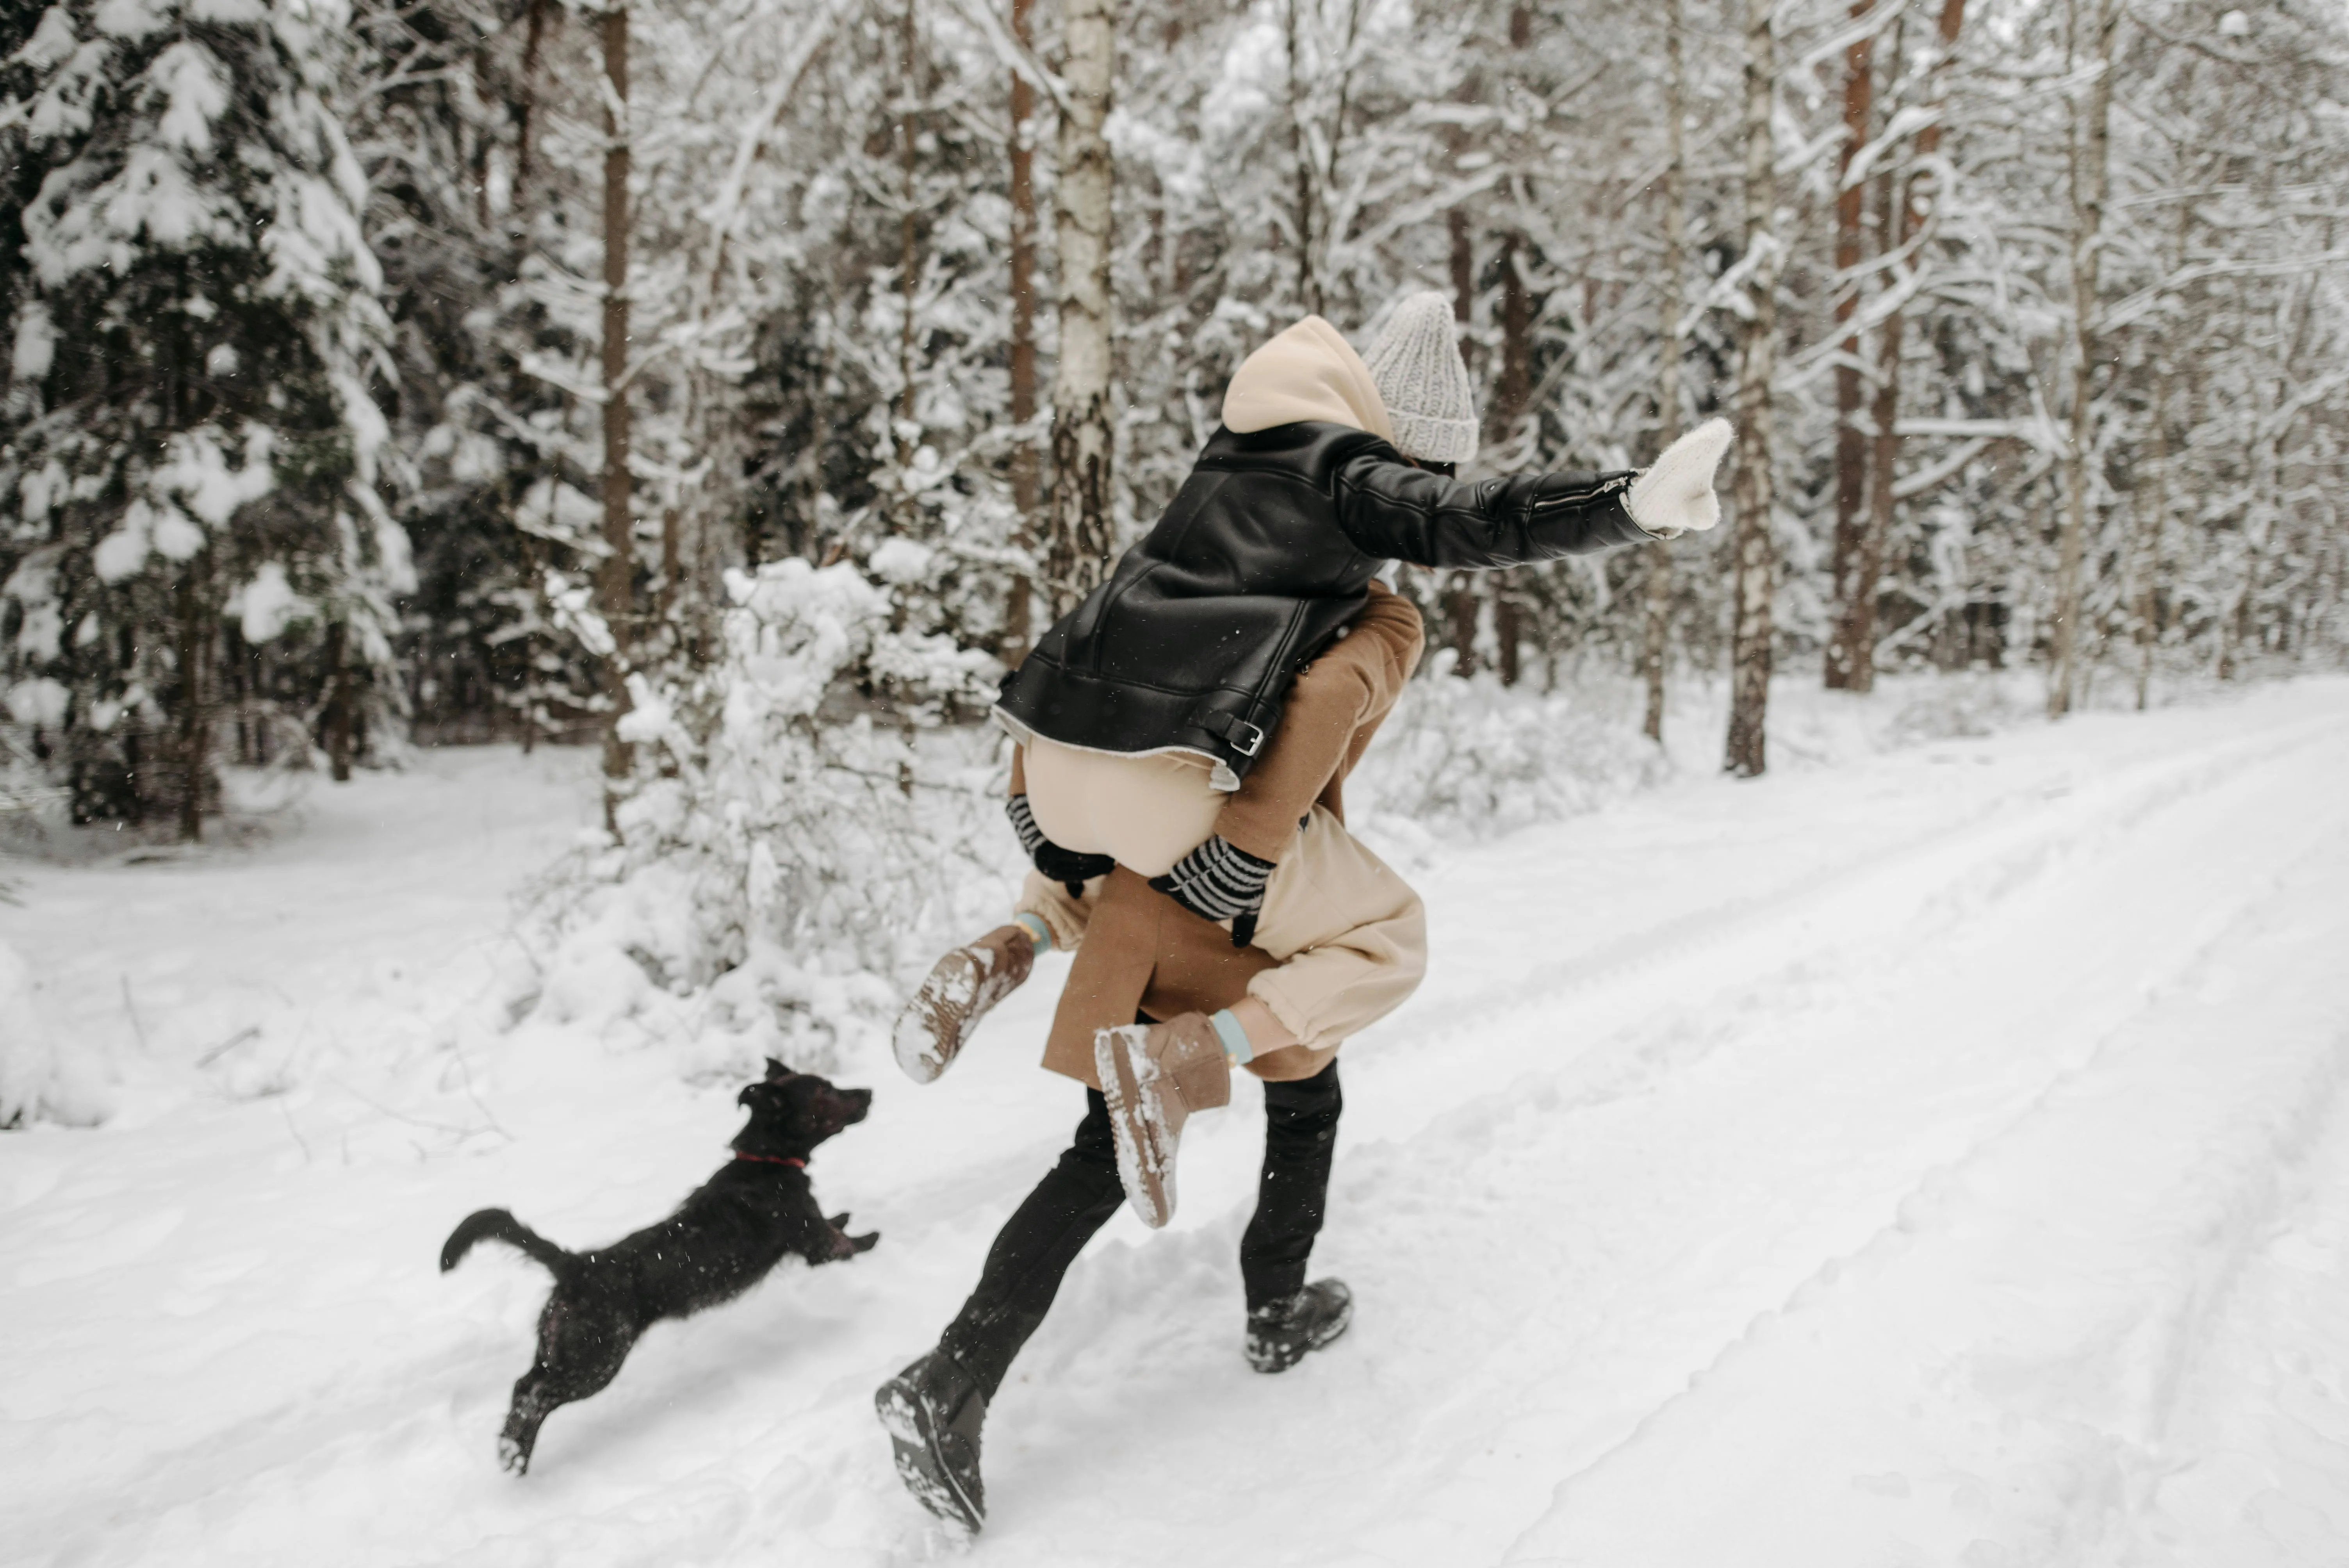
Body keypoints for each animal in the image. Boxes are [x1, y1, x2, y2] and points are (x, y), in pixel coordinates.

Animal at [442, 1061, 883, 1474]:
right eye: (825, 1090)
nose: (869, 1091)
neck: (766, 1161)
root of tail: (575, 1264)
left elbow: (836, 1222)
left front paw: (846, 1216)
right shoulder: (814, 1240)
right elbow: (845, 1240)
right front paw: (873, 1235)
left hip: (557, 1346)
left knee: (524, 1385)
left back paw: (511, 1452)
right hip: (595, 1359)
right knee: (536, 1396)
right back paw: (517, 1455)